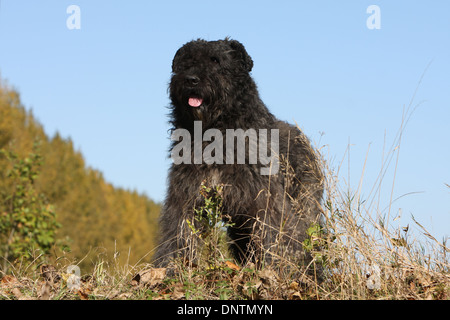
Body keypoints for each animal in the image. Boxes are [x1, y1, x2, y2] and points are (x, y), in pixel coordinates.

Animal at [154, 38, 324, 270]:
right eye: (186, 61)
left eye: (215, 60)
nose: (191, 79)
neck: (215, 131)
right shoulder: (186, 194)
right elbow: (178, 229)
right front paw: (171, 267)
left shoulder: (266, 198)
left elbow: (273, 233)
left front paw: (275, 267)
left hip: (304, 207)